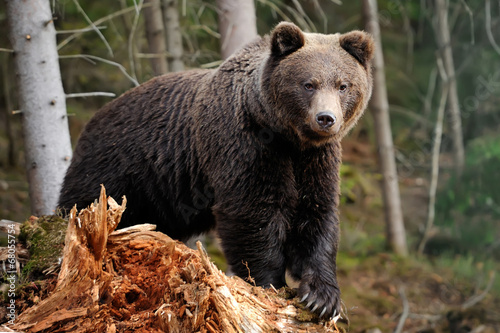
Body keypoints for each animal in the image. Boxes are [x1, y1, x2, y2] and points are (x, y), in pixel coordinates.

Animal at [58, 22, 374, 318]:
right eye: (308, 84)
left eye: (343, 85)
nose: (326, 118)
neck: (286, 136)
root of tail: (94, 119)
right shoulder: (244, 145)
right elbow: (253, 213)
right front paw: (269, 283)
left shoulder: (316, 160)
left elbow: (317, 215)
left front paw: (322, 297)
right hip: (116, 168)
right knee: (83, 200)